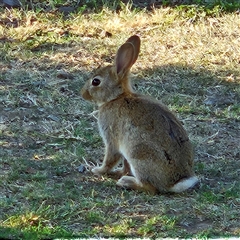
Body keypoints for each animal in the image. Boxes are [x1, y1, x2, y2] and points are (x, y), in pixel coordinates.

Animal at [81, 34, 198, 194]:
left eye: (96, 82)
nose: (83, 94)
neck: (117, 97)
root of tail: (174, 183)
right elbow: (124, 165)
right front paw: (117, 172)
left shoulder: (111, 138)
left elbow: (110, 158)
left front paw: (97, 170)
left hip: (138, 154)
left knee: (150, 187)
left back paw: (126, 182)